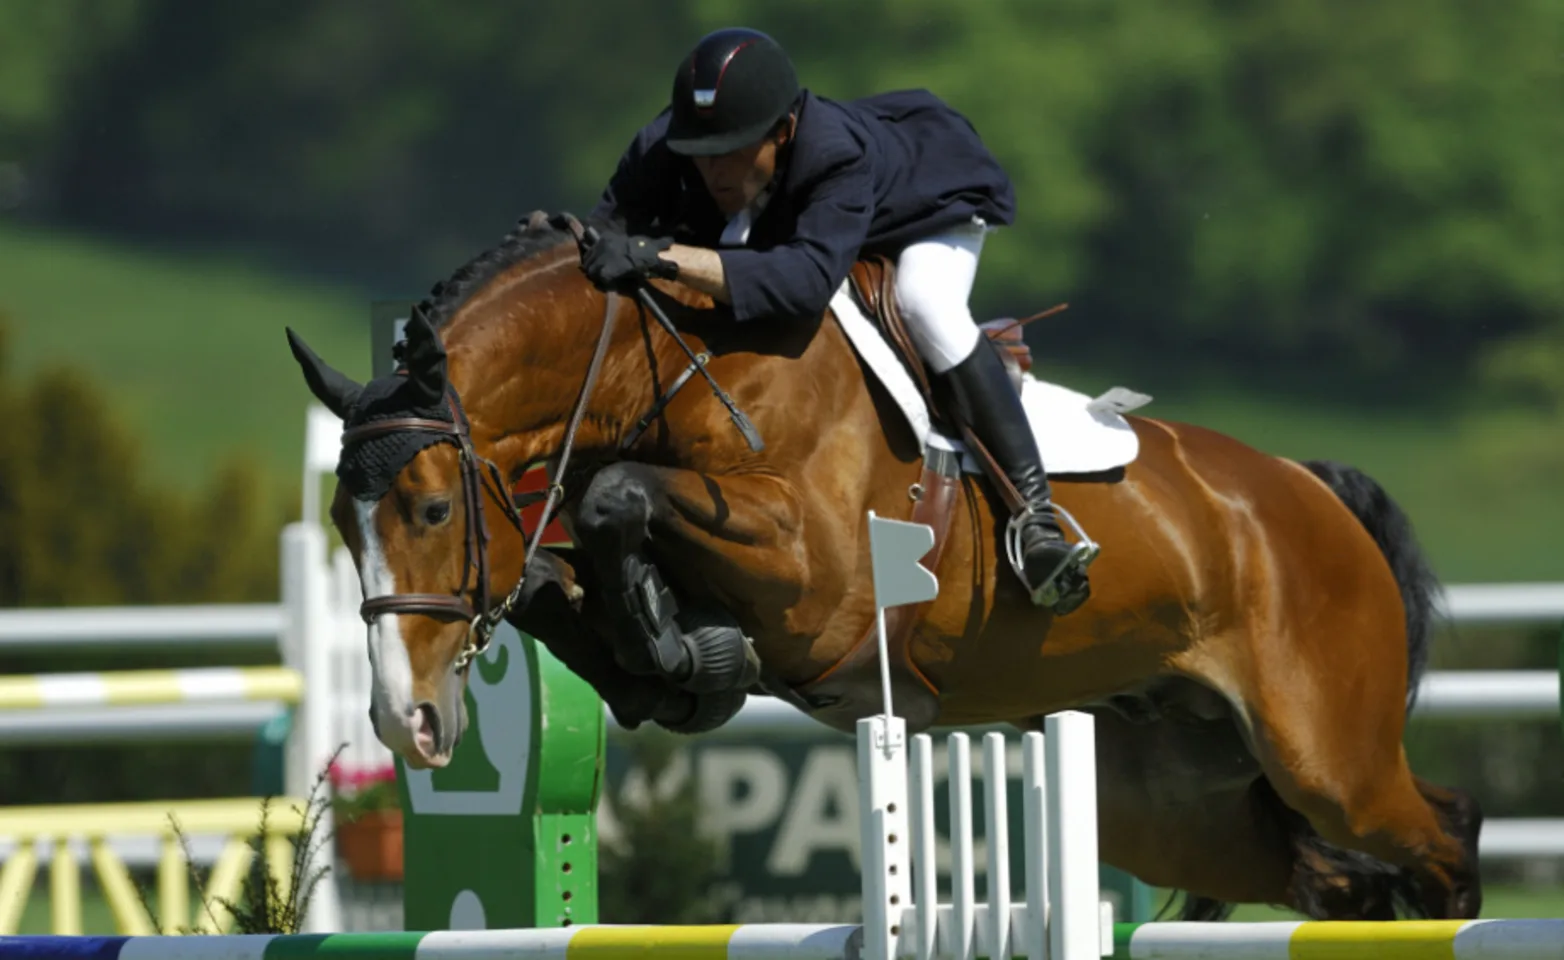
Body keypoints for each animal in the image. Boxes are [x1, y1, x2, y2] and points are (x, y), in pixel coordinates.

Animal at [287, 211, 1482, 922]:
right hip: (1187, 809)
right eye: (344, 524)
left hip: (1327, 759)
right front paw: (672, 662)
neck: (675, 362)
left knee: (1442, 831)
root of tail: (1308, 490)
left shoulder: (815, 579)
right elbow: (560, 569)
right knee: (1332, 880)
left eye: (432, 507)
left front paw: (677, 643)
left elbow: (611, 494)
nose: (406, 723)